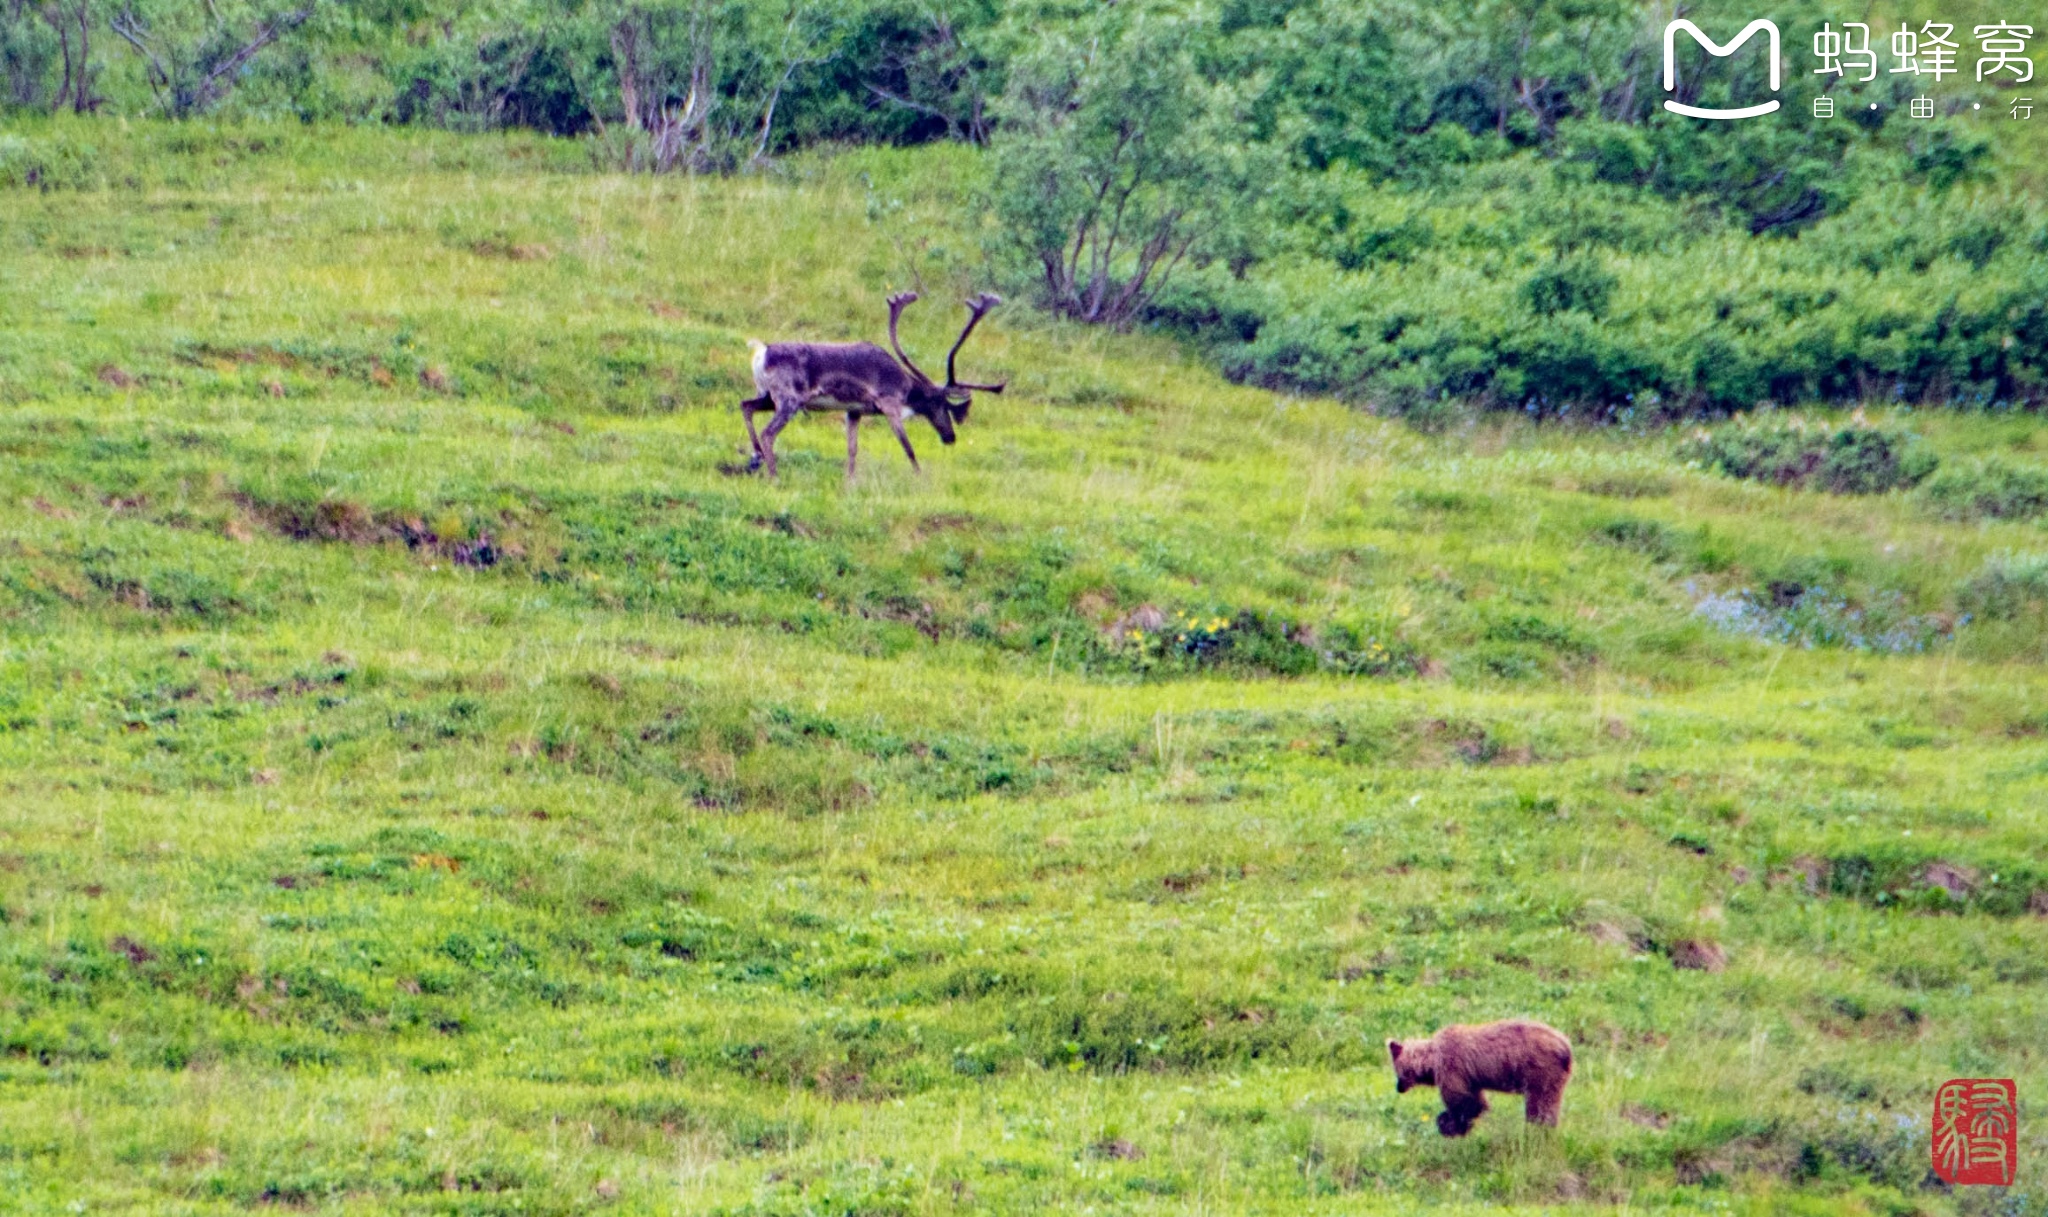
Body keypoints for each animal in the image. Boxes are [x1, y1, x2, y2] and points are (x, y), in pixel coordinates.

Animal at [1384, 1008, 1572, 1130]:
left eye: (1397, 1071)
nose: (1398, 1088)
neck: (1432, 1060)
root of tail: (1566, 1046)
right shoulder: (1469, 1078)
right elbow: (1477, 1100)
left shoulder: (1452, 1068)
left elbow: (1462, 1100)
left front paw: (1449, 1123)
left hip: (1539, 1070)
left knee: (1540, 1103)